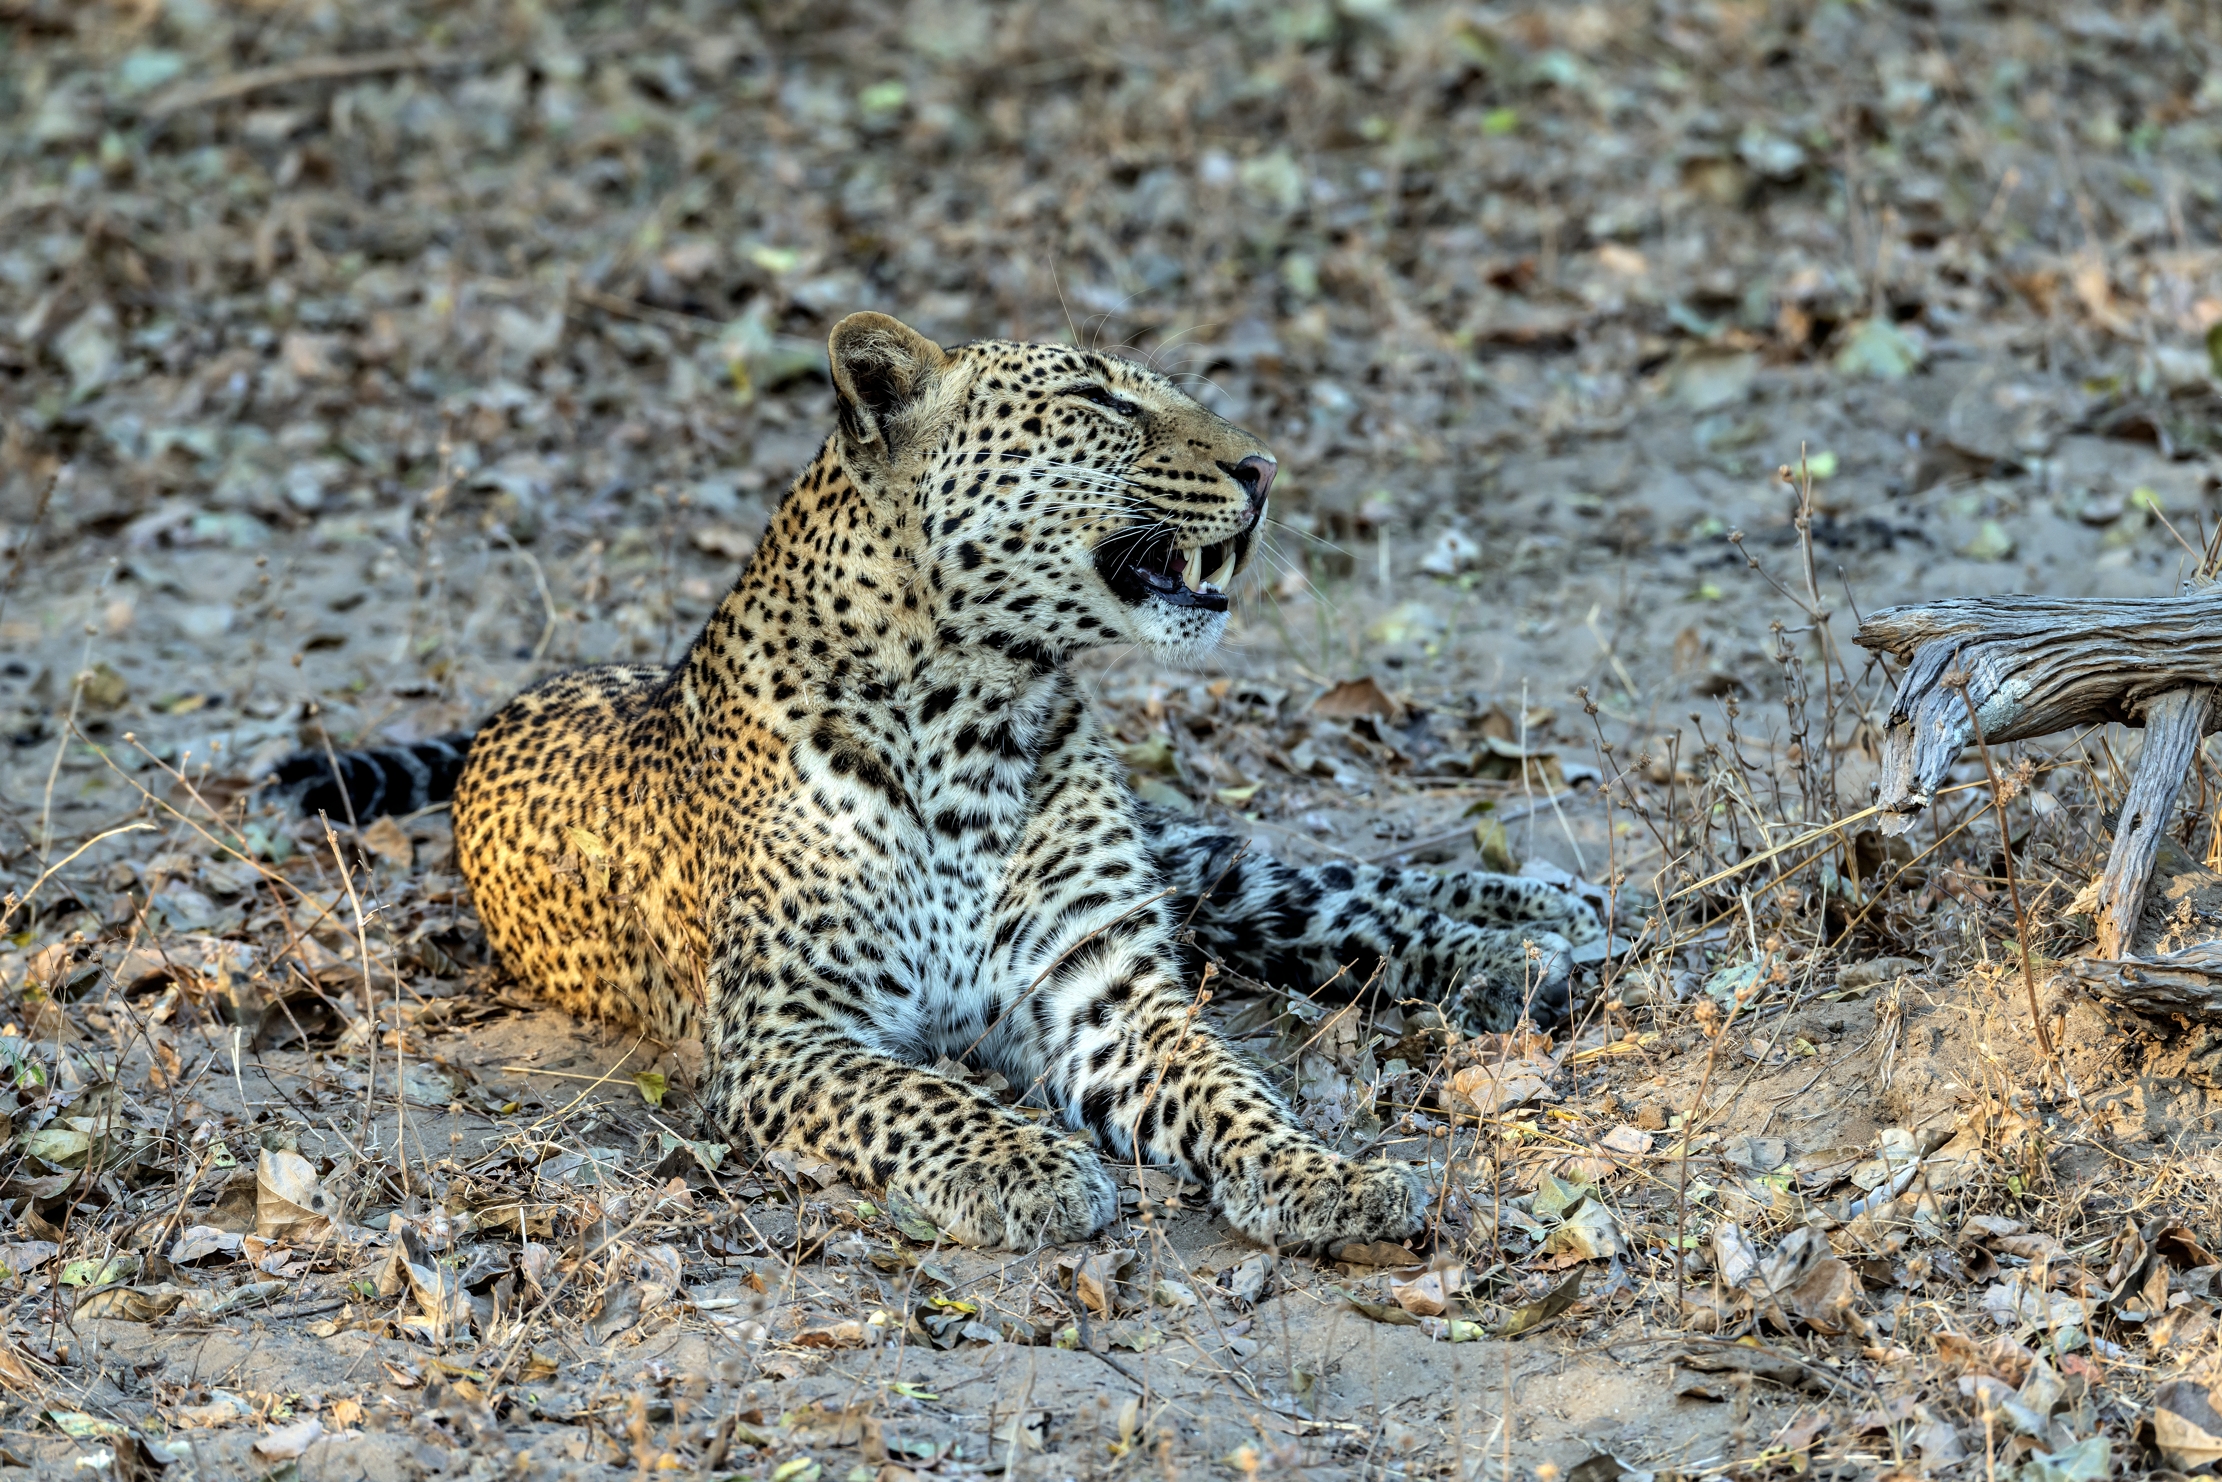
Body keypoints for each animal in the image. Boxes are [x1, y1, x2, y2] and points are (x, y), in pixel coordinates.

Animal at [266, 311, 1601, 1251]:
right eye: (1094, 399)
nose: (1263, 468)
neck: (979, 713)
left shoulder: (1105, 988)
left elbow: (1233, 1088)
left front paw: (1327, 1178)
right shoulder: (790, 1033)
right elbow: (917, 1097)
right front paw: (1026, 1166)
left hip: (1187, 867)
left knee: (1299, 886)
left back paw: (1525, 925)